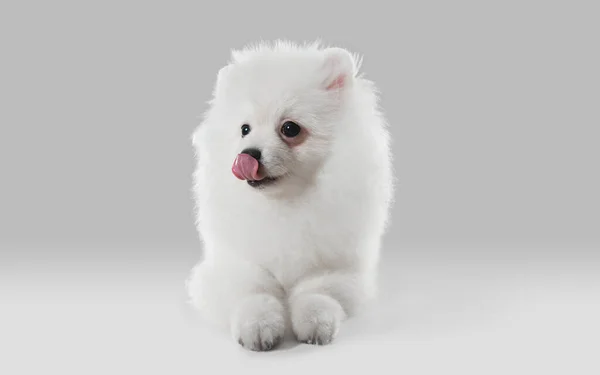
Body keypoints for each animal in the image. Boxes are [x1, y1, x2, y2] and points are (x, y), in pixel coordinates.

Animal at [188, 39, 394, 352]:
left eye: (290, 128)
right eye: (244, 129)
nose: (248, 154)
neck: (285, 204)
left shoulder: (336, 268)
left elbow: (316, 292)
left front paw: (315, 323)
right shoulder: (236, 264)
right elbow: (253, 292)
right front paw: (258, 326)